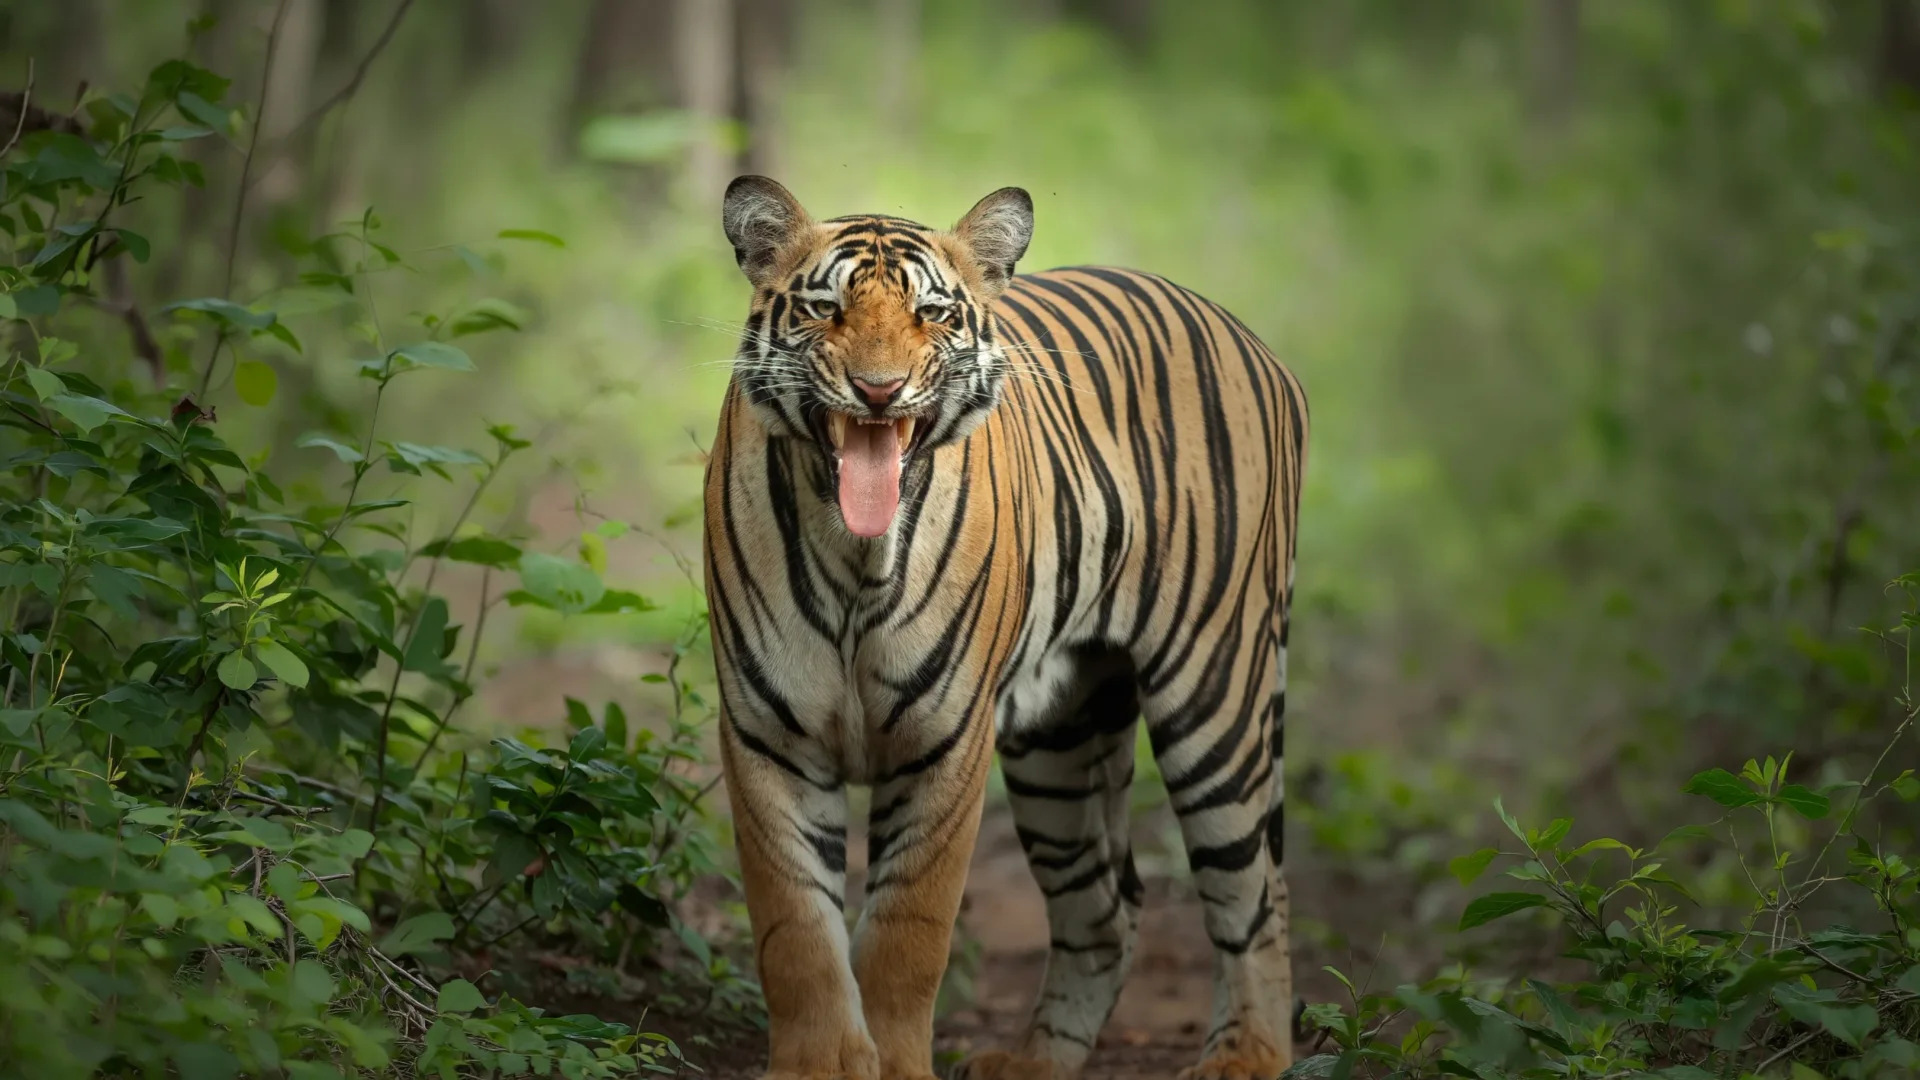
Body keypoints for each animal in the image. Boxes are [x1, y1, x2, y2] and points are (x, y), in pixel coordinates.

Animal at [703, 175, 1308, 1080]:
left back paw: (1244, 1055)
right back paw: (1033, 1060)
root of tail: (1249, 337)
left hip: (1217, 697)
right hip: (1062, 737)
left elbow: (907, 936)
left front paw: (896, 1065)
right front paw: (819, 1064)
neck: (855, 554)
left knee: (1256, 893)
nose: (877, 390)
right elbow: (795, 930)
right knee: (1107, 907)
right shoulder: (767, 735)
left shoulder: (945, 740)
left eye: (931, 315)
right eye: (825, 310)